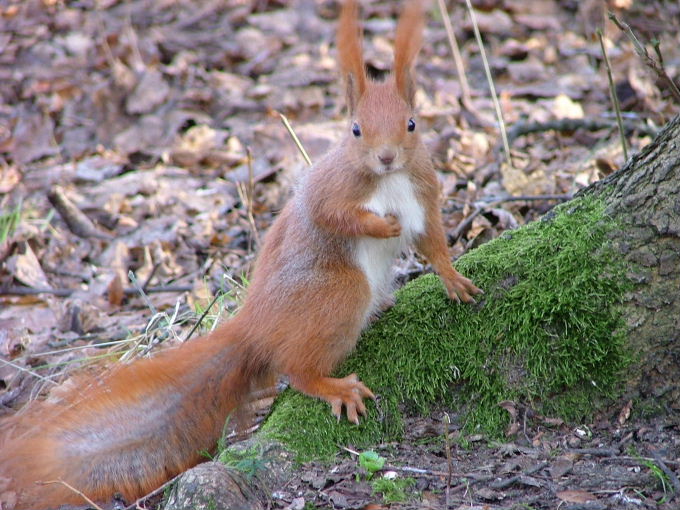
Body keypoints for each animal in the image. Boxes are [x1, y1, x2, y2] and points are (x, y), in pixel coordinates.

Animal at [0, 1, 480, 508]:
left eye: (412, 124)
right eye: (355, 130)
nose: (386, 157)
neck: (389, 180)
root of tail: (257, 327)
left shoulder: (423, 194)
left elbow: (433, 243)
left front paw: (453, 279)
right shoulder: (331, 188)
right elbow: (330, 214)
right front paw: (379, 226)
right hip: (338, 292)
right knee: (297, 369)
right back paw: (334, 387)